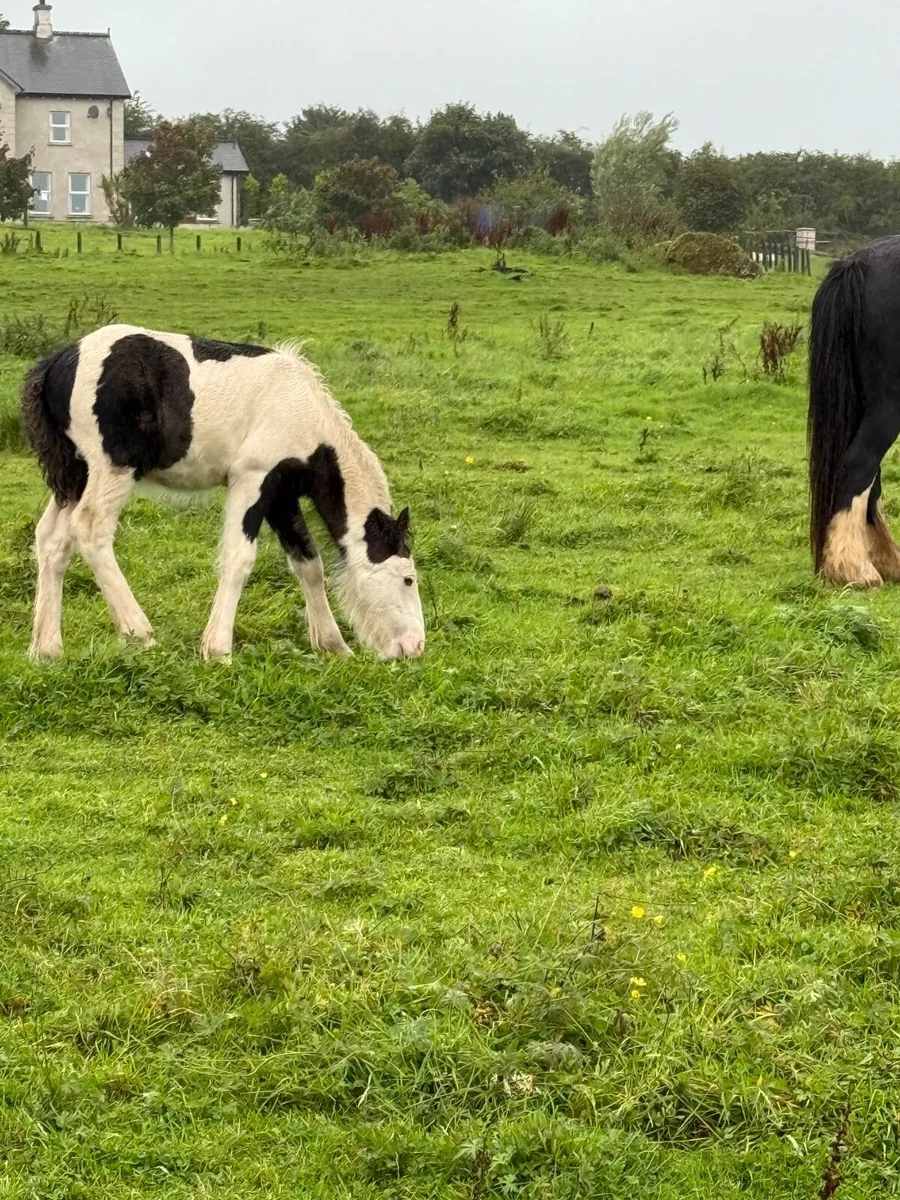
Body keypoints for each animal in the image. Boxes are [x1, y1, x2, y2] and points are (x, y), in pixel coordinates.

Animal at [21, 324, 426, 662]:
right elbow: (238, 559)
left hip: (75, 475)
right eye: (408, 578)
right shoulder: (252, 479)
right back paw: (140, 633)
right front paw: (217, 650)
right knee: (90, 530)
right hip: (113, 469)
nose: (416, 647)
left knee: (52, 539)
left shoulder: (281, 495)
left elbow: (308, 563)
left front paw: (333, 645)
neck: (304, 416)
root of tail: (55, 364)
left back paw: (46, 648)